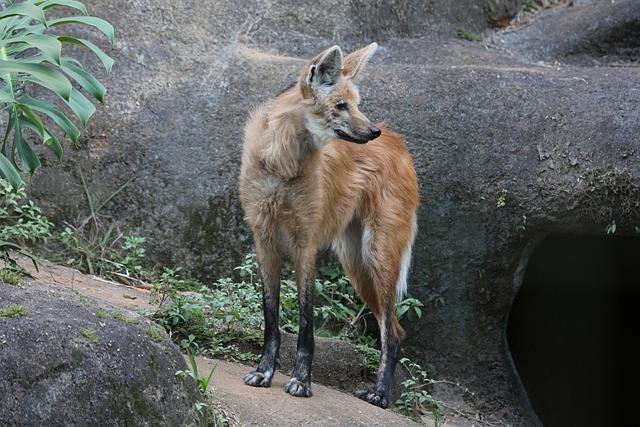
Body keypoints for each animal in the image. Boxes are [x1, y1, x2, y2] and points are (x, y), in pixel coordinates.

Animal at [238, 42, 418, 408]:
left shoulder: (304, 242)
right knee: (393, 327)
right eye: (340, 105)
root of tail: (398, 142)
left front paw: (301, 381)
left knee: (392, 331)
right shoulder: (264, 238)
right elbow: (271, 315)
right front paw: (264, 373)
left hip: (377, 255)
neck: (283, 164)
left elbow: (306, 322)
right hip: (356, 263)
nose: (372, 131)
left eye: (358, 104)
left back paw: (380, 394)